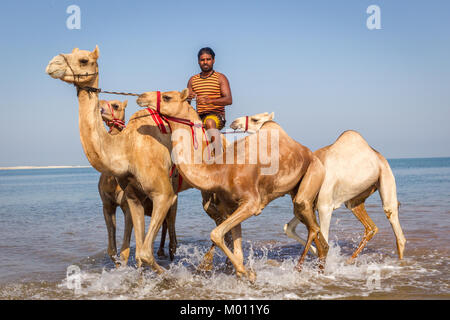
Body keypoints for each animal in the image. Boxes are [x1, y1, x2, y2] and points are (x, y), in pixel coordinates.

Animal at [98, 100, 172, 264]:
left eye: (116, 105)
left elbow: (124, 250)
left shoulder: (127, 206)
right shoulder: (107, 205)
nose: (100, 109)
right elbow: (112, 250)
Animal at [135, 89, 328, 282]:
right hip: (297, 190)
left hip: (314, 173)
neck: (220, 171)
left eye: (167, 97)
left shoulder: (251, 203)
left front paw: (248, 272)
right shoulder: (230, 206)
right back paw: (320, 268)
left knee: (312, 224)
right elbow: (234, 248)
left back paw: (301, 268)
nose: (141, 96)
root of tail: (309, 152)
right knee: (314, 229)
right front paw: (243, 272)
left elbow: (216, 234)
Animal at [230, 114, 406, 262]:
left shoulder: (324, 205)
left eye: (256, 119)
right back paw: (350, 260)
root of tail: (377, 155)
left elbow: (324, 236)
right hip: (355, 199)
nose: (234, 122)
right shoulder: (309, 204)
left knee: (395, 225)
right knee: (371, 227)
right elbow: (289, 228)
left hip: (386, 176)